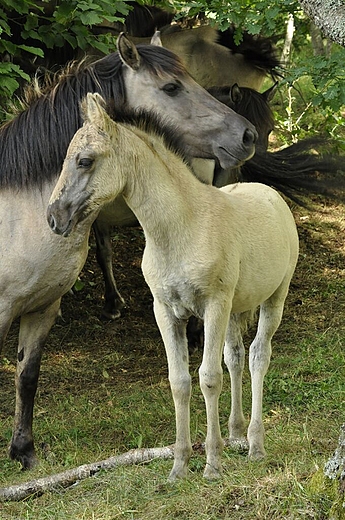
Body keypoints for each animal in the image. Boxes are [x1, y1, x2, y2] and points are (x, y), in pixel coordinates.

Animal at [0, 34, 255, 470]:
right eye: (171, 87)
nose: (247, 135)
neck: (21, 210)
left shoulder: (43, 307)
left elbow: (27, 377)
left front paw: (24, 451)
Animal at [47, 93, 296, 480]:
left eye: (85, 160)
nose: (54, 217)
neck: (183, 227)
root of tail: (269, 193)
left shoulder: (213, 306)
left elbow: (209, 377)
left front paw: (212, 464)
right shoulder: (165, 310)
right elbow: (179, 381)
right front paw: (179, 465)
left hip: (274, 298)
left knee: (258, 356)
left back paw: (255, 444)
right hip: (236, 308)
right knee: (236, 357)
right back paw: (235, 432)